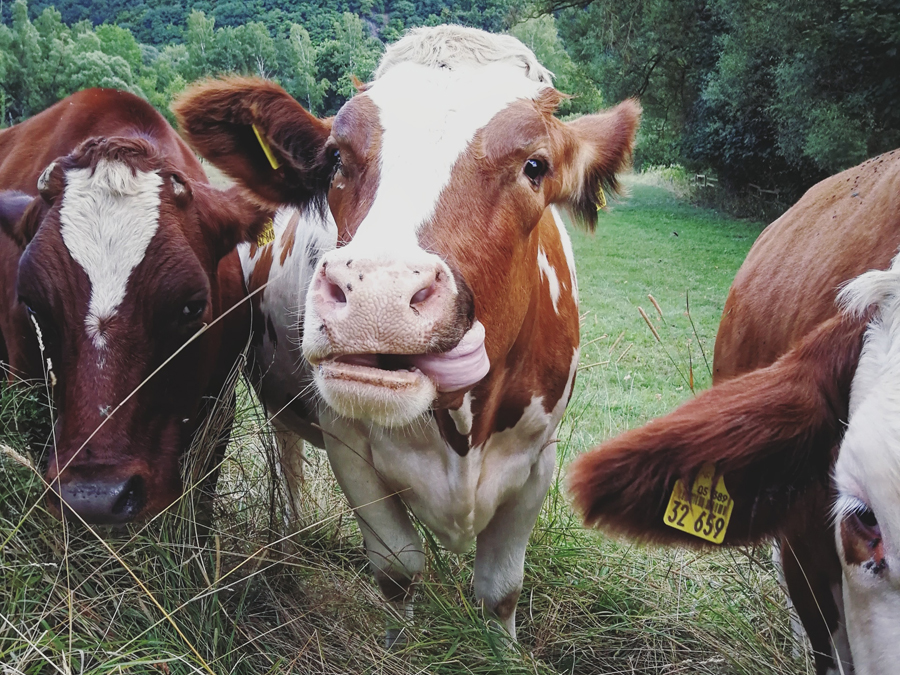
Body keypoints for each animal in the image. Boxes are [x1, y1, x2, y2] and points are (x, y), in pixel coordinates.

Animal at [174, 25, 640, 644]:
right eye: (335, 157)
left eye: (535, 165)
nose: (378, 295)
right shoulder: (347, 442)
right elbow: (398, 568)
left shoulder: (538, 456)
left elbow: (501, 588)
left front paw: (503, 651)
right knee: (288, 455)